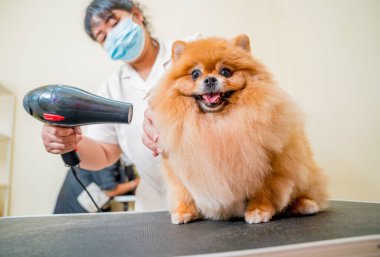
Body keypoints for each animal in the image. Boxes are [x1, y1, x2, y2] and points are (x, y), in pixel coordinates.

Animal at [150, 35, 328, 223]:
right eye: (195, 74)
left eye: (225, 72)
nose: (210, 79)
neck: (215, 122)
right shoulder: (180, 166)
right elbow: (183, 191)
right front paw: (184, 211)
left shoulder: (263, 164)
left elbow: (262, 190)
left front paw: (258, 210)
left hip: (302, 169)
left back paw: (305, 204)